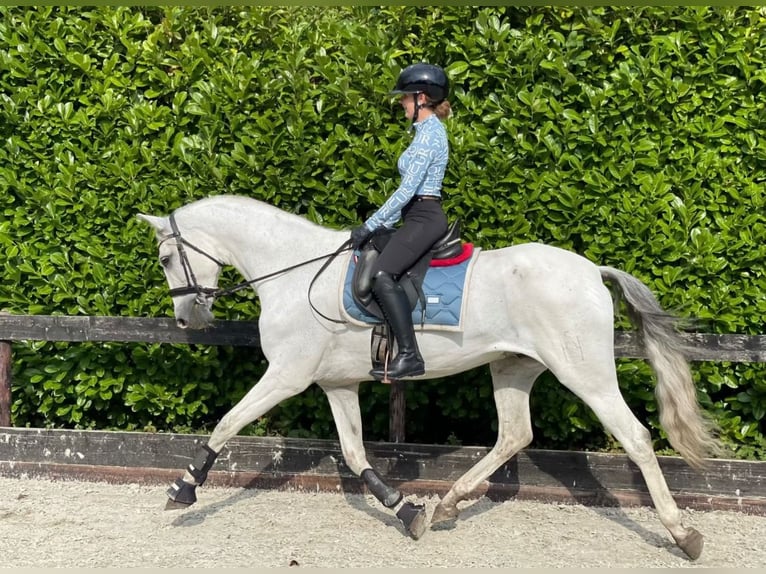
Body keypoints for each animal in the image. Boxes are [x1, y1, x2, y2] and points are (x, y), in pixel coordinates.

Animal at [141, 195, 724, 564]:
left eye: (167, 257)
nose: (187, 320)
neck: (293, 272)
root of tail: (591, 271)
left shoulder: (287, 374)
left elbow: (226, 423)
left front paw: (183, 490)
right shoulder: (336, 384)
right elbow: (353, 453)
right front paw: (405, 511)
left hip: (586, 374)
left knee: (636, 437)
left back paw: (684, 535)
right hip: (513, 366)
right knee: (515, 434)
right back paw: (446, 504)